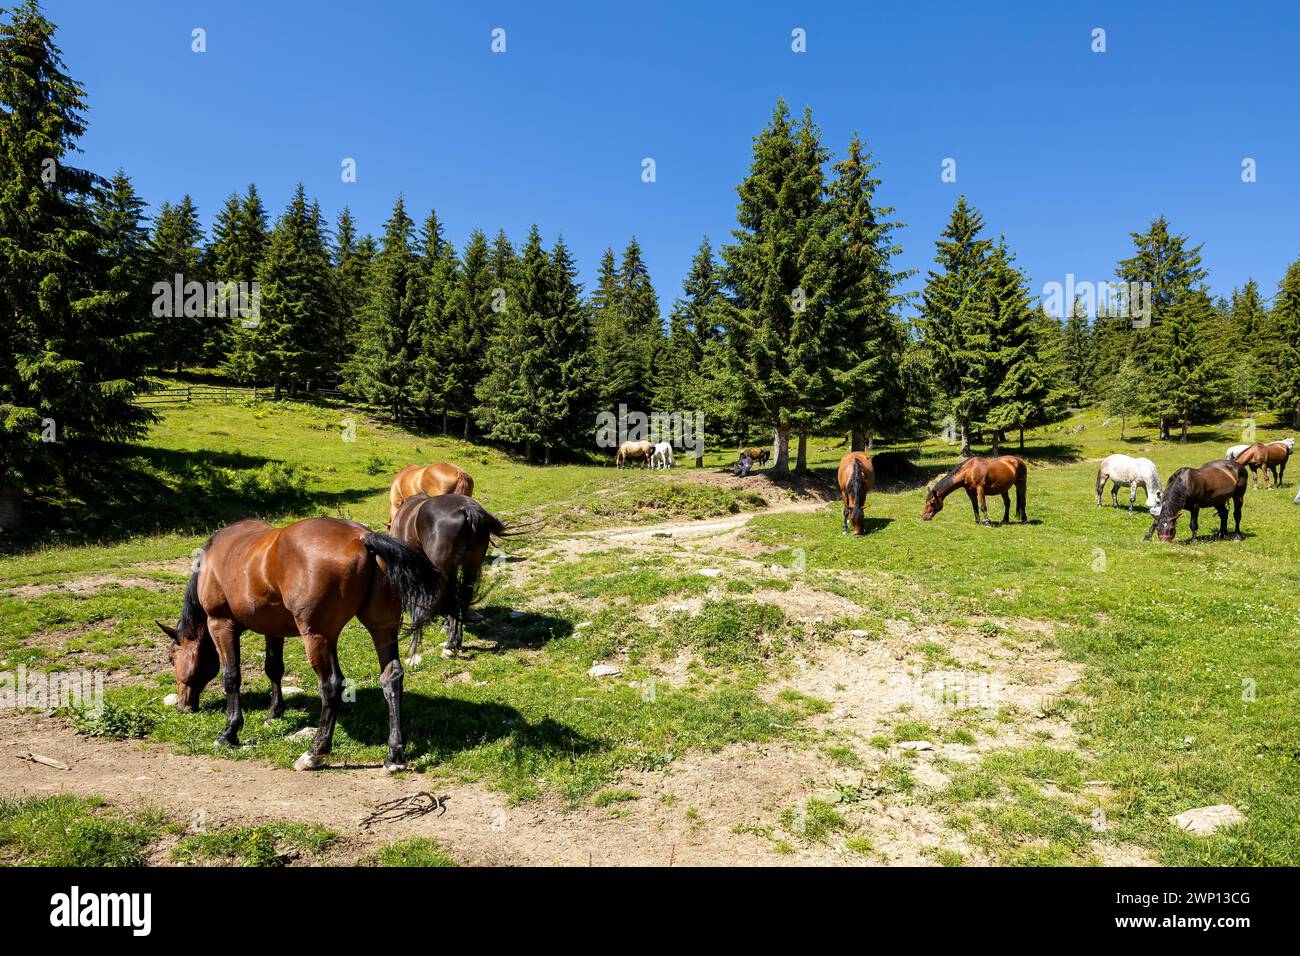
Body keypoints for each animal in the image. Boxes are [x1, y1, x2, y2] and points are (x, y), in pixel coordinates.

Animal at [157, 517, 441, 772]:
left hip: (317, 636)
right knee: (391, 678)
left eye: (172, 658)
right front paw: (274, 712)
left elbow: (231, 677)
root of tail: (362, 538)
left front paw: (229, 732)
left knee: (332, 685)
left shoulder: (221, 624)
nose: (183, 705)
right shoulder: (272, 629)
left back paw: (315, 752)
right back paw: (394, 755)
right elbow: (273, 668)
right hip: (382, 629)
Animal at [389, 492, 509, 658]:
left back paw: (451, 642)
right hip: (470, 568)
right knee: (462, 598)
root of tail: (467, 508)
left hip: (447, 571)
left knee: (452, 599)